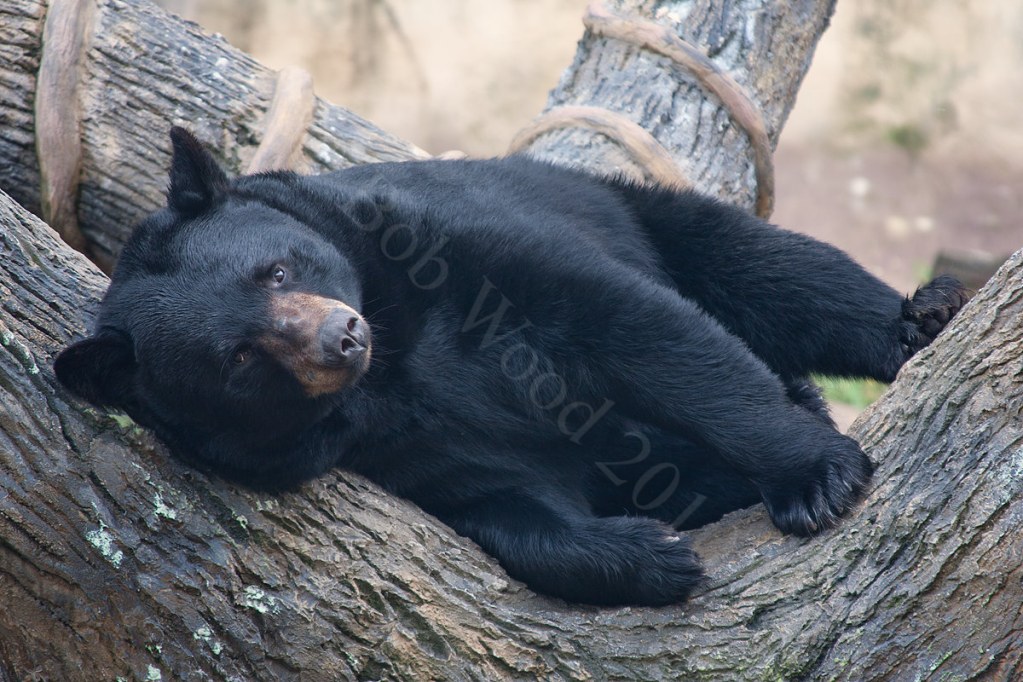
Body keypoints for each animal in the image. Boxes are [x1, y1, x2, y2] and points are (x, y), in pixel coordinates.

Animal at [55, 128, 967, 606]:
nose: (341, 338)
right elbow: (503, 502)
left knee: (776, 274)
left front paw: (815, 477)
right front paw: (649, 554)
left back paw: (921, 317)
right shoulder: (395, 451)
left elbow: (634, 328)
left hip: (631, 207)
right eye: (239, 358)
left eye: (275, 271)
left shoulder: (440, 247)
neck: (392, 368)